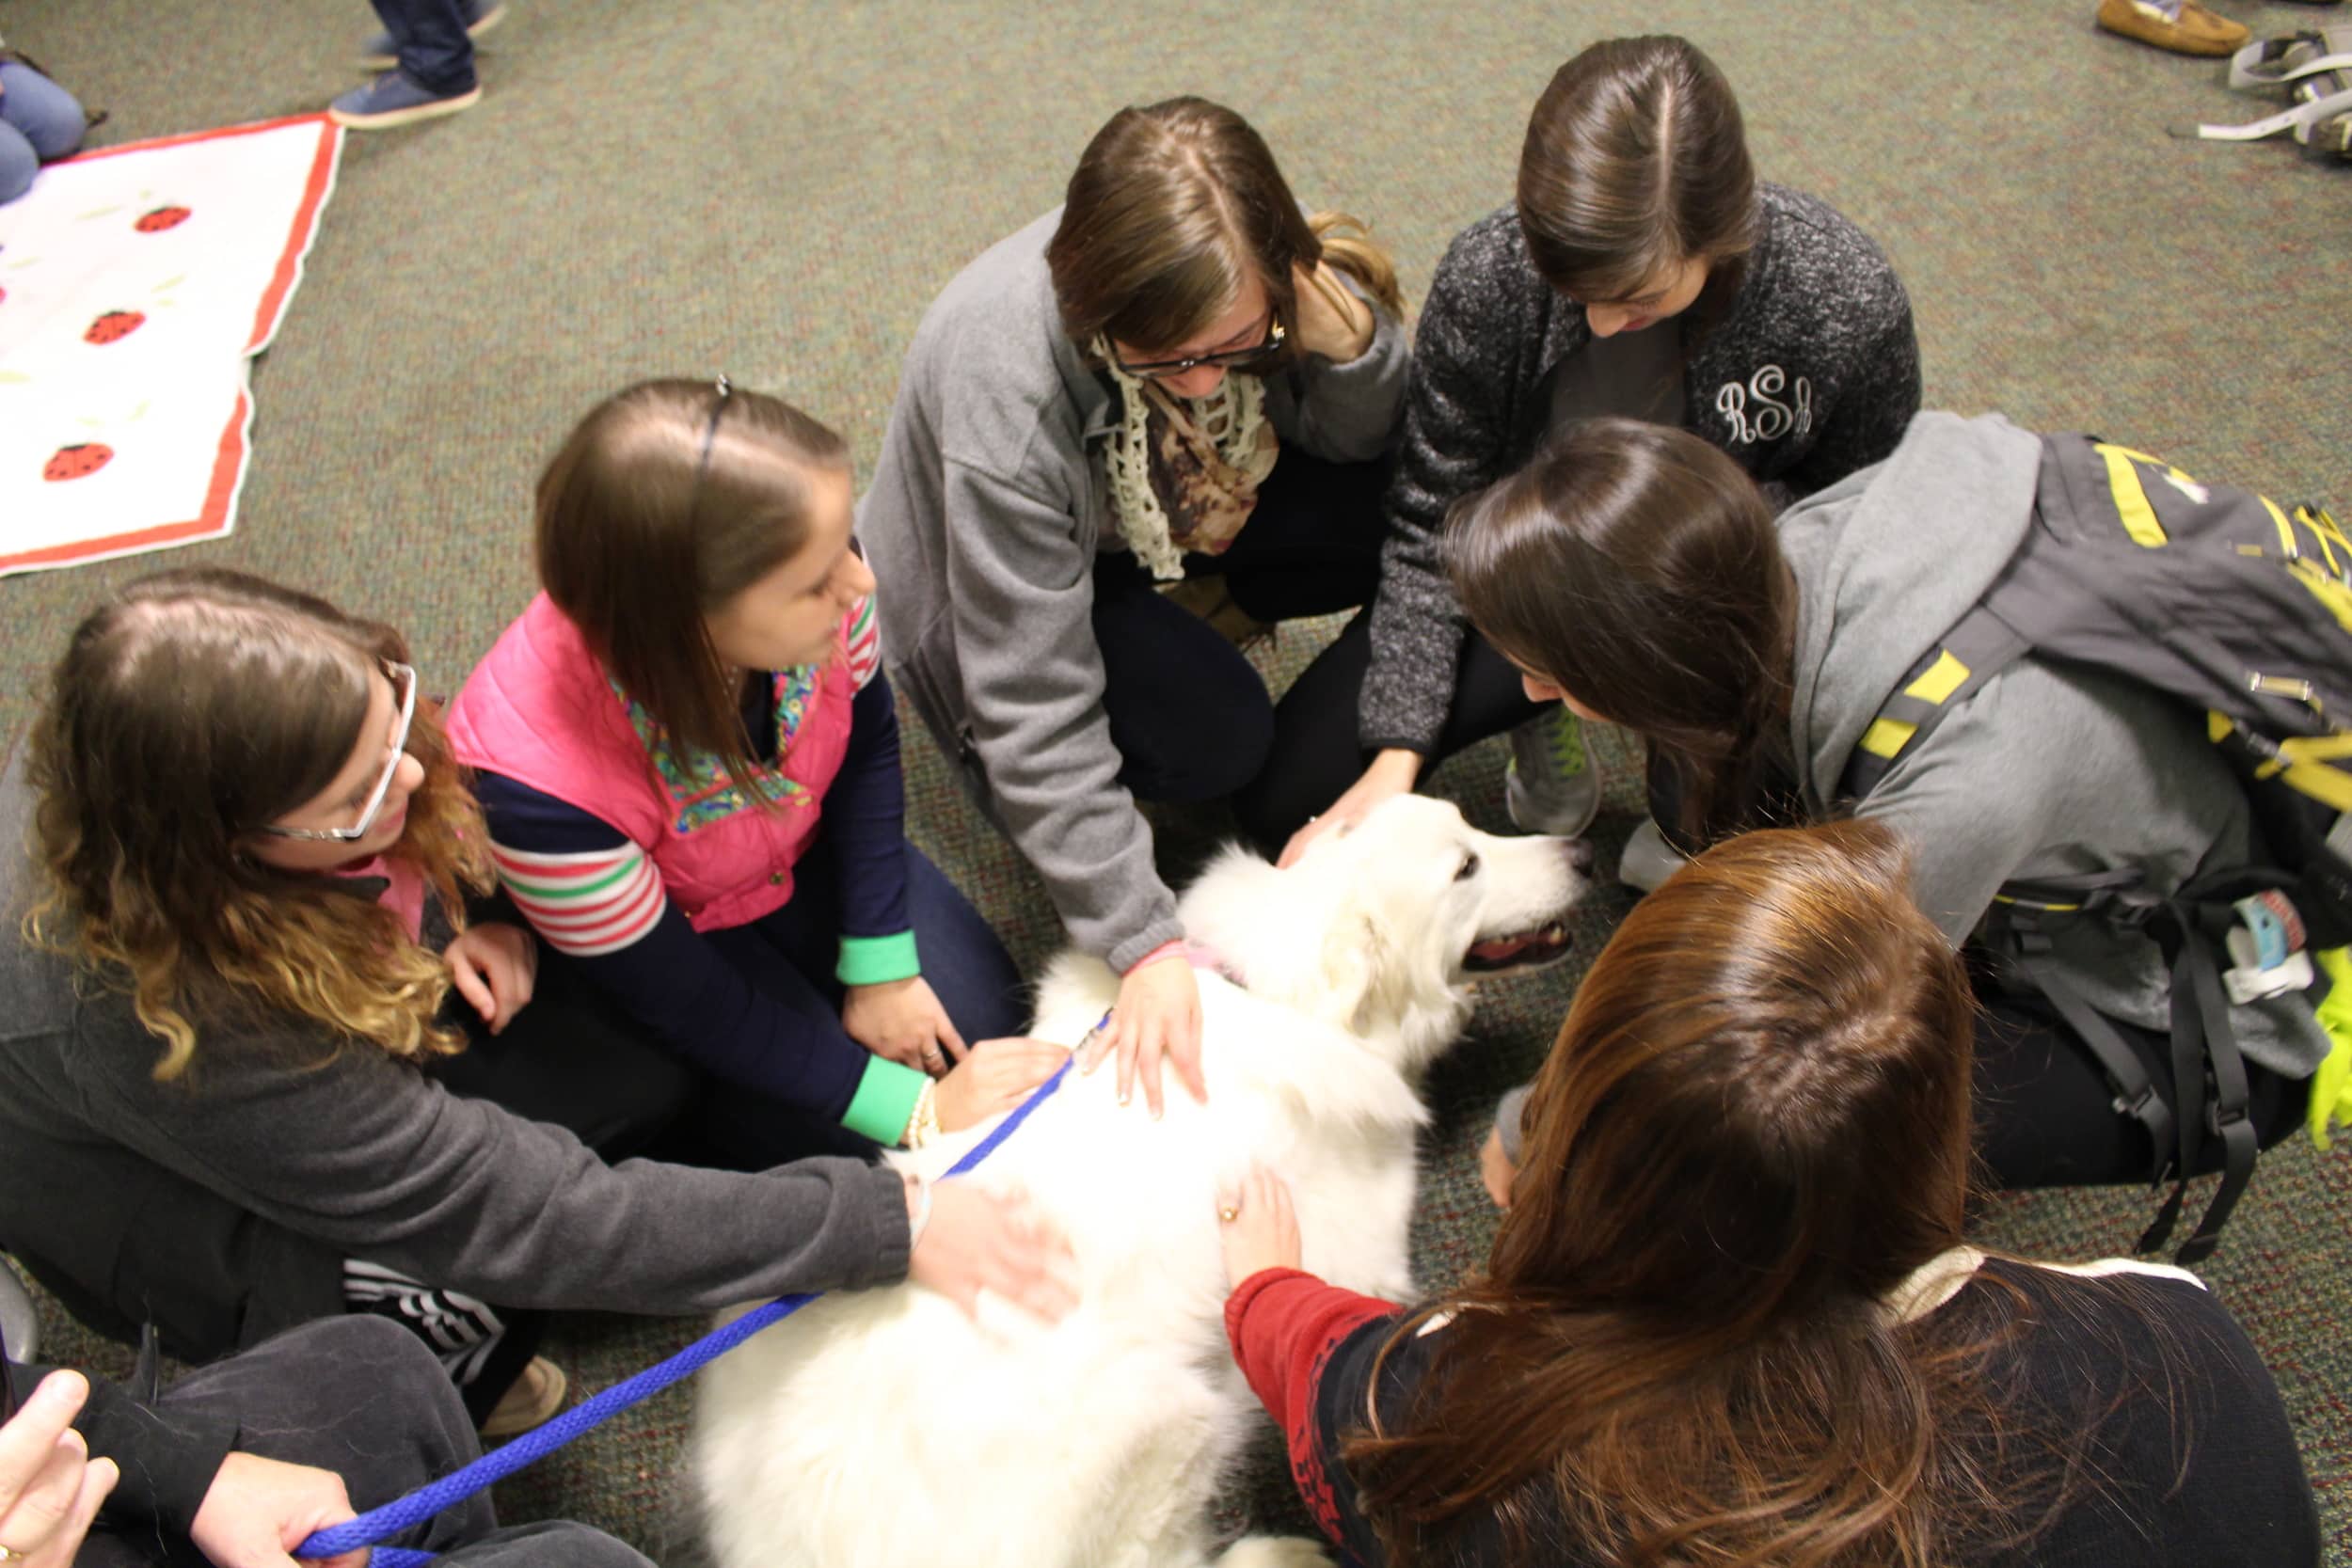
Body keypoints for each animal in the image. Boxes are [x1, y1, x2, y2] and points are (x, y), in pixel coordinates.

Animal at [687, 799, 1590, 1568]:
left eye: (1473, 825)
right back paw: (1280, 1552)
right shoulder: (1360, 1256)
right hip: (1176, 1411)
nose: (1580, 852)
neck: (1281, 990)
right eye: (1466, 866)